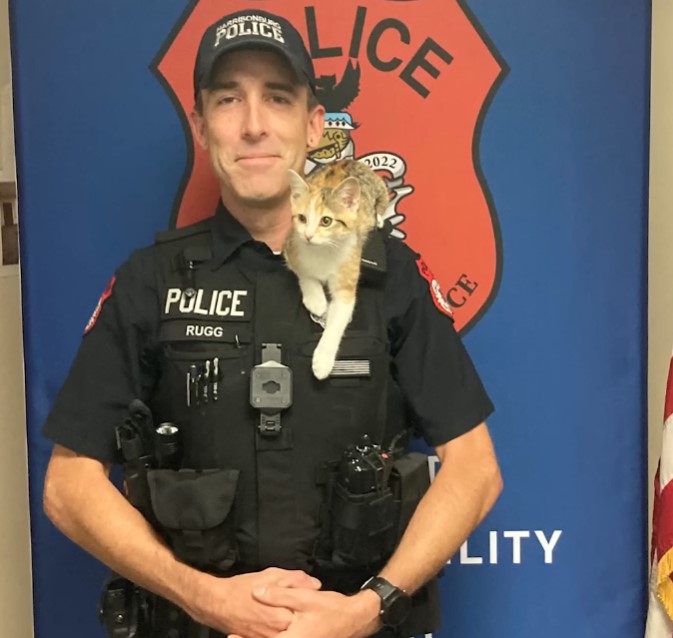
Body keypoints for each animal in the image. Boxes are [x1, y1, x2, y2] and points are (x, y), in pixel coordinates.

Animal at [284, 160, 388, 380]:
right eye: (302, 218)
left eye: (326, 221)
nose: (308, 235)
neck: (323, 250)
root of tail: (349, 161)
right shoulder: (290, 246)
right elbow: (303, 272)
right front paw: (316, 300)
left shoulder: (349, 267)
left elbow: (339, 318)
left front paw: (323, 360)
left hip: (379, 188)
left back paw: (379, 218)